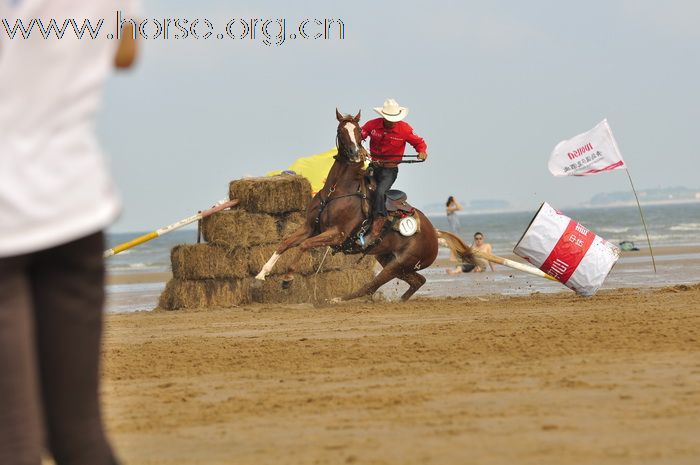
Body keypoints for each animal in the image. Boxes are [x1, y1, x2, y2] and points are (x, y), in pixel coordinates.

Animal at [254, 109, 440, 300]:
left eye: (358, 130)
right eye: (341, 130)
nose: (355, 153)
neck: (336, 191)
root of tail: (434, 235)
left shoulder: (337, 234)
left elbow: (304, 245)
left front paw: (288, 277)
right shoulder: (310, 227)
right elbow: (285, 243)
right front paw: (261, 274)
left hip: (399, 263)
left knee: (370, 286)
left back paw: (337, 299)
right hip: (388, 258)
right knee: (417, 280)